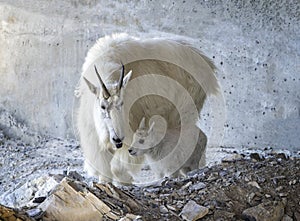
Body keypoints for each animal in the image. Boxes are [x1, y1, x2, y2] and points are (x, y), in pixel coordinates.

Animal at [76, 32, 219, 184]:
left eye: (122, 103)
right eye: (102, 106)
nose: (118, 139)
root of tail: (207, 63)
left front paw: (124, 180)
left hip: (184, 111)